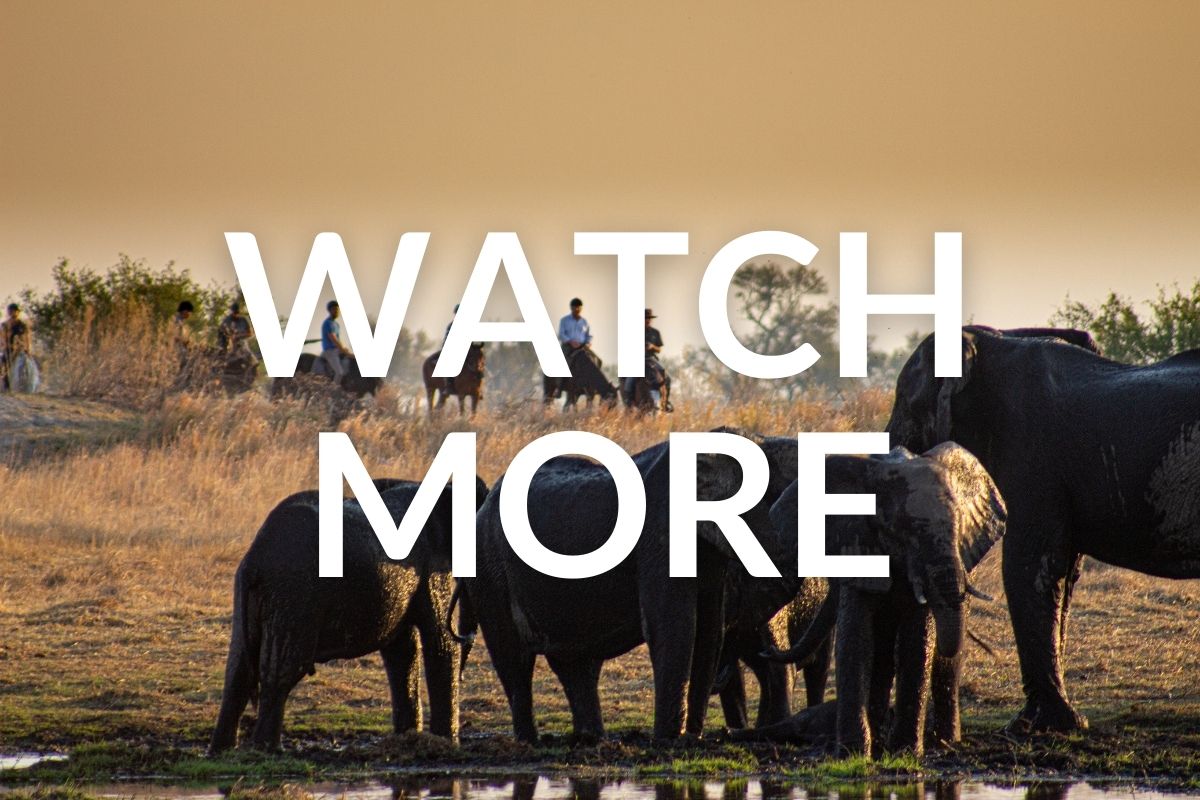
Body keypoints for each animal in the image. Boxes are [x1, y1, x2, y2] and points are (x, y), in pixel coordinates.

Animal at [208, 476, 489, 752]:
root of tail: (255, 560)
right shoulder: (430, 565)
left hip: (255, 597)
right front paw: (447, 744)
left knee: (238, 671)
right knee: (283, 670)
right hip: (294, 594)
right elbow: (440, 642)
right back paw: (268, 750)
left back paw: (223, 750)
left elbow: (402, 650)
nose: (464, 675)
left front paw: (408, 739)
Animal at [464, 433, 809, 742]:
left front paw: (692, 738)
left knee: (577, 664)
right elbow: (675, 626)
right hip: (489, 567)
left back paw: (591, 739)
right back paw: (529, 742)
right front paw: (669, 740)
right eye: (774, 499)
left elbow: (709, 629)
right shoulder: (660, 532)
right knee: (514, 659)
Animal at [755, 444, 1006, 757]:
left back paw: (944, 743)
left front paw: (906, 752)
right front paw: (853, 753)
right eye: (899, 530)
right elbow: (857, 640)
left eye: (959, 525)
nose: (765, 652)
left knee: (943, 663)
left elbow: (916, 642)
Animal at [886, 325, 1200, 733]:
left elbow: (1028, 566)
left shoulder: (1032, 457)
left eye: (904, 402)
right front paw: (1062, 724)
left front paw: (1030, 728)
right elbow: (1063, 574)